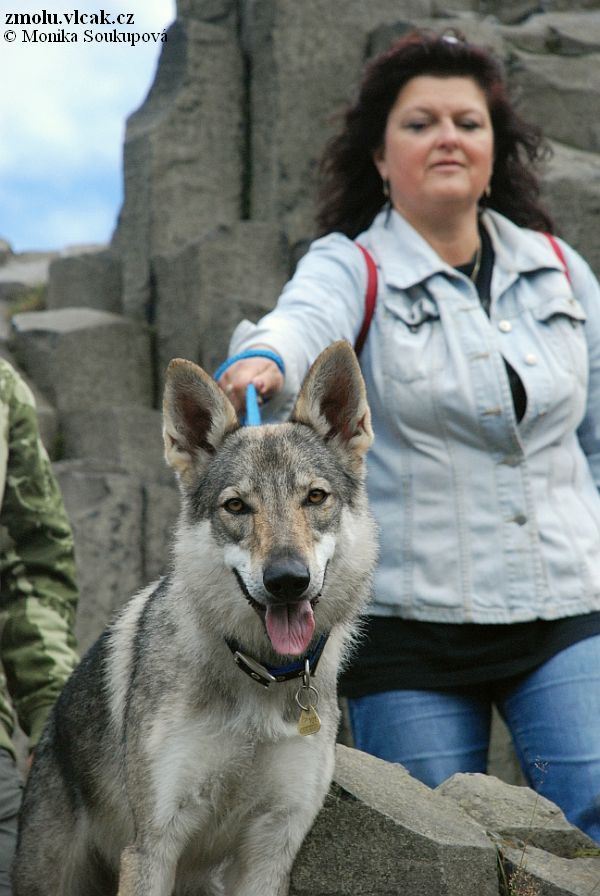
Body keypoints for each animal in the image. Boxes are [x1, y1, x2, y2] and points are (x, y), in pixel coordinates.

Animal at [12, 342, 376, 896]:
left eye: (315, 497)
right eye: (237, 506)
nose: (287, 579)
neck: (261, 674)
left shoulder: (271, 853)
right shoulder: (152, 845)